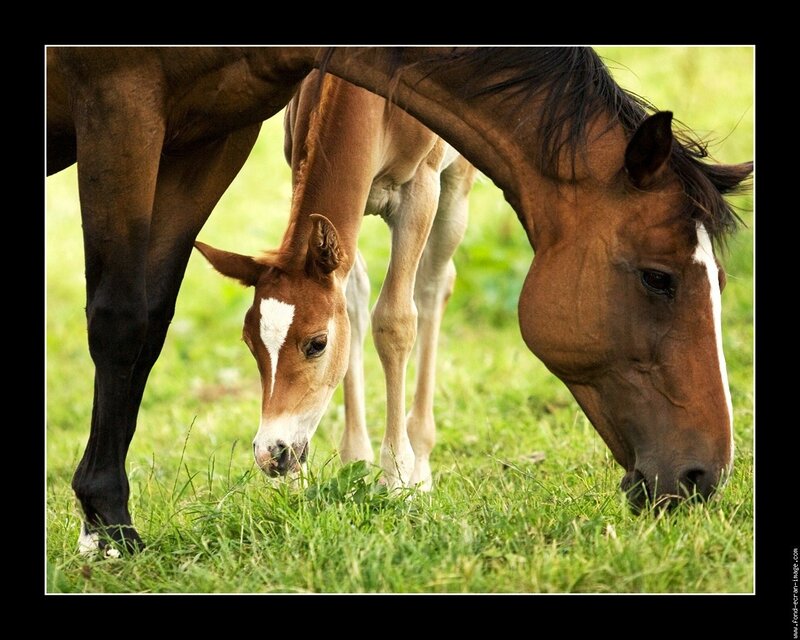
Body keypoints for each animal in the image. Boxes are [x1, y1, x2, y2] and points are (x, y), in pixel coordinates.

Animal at [194, 71, 475, 490]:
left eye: (317, 344)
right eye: (249, 343)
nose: (271, 453)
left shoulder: (420, 190)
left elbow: (394, 320)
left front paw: (396, 476)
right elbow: (352, 308)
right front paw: (355, 460)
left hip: (455, 183)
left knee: (433, 285)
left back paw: (421, 464)